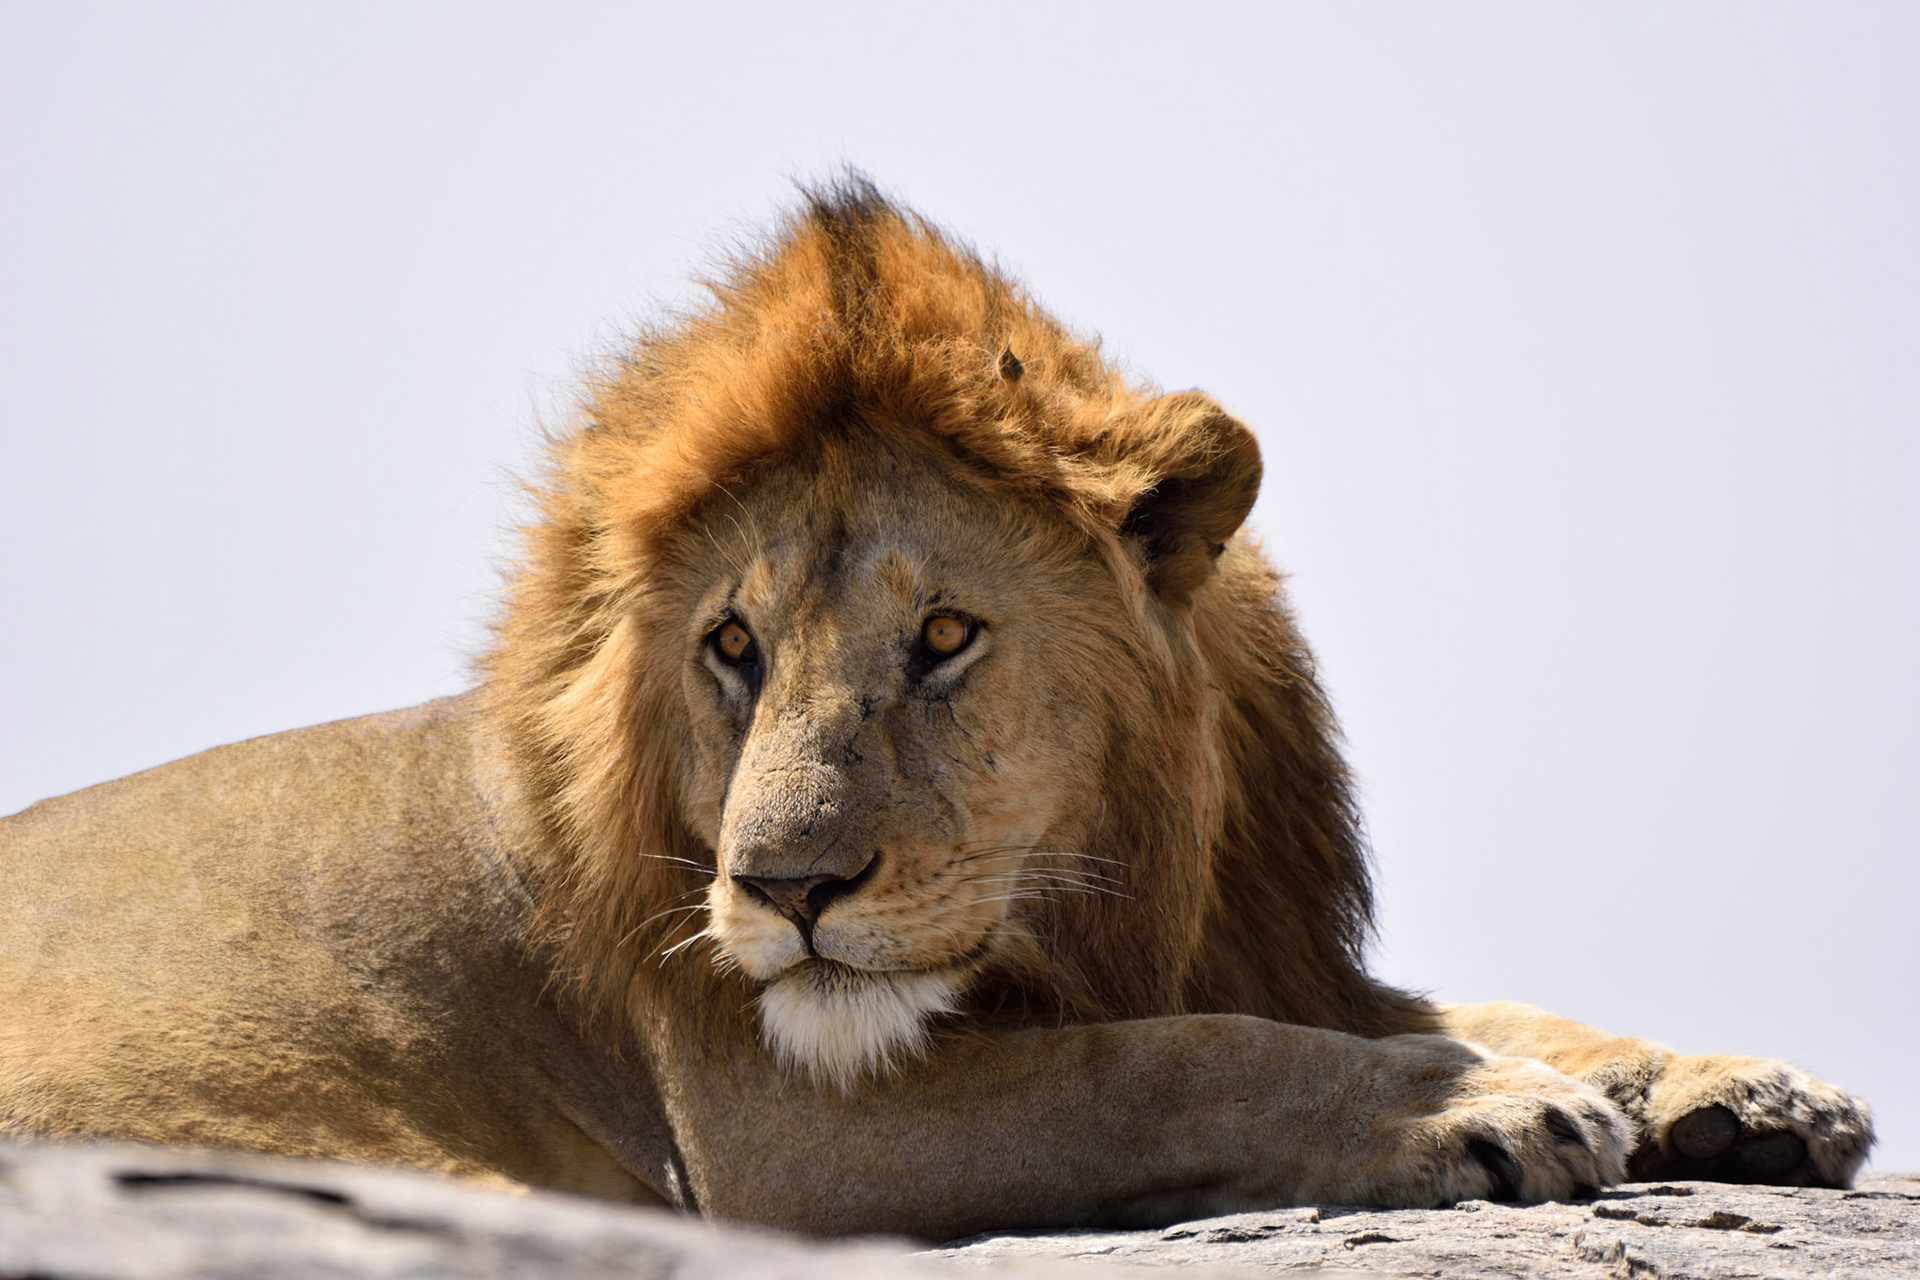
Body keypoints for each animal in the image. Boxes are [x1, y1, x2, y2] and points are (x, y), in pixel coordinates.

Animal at [0, 178, 1873, 1238]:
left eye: (948, 634)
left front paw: (1739, 1090)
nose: (782, 893)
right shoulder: (773, 1126)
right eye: (733, 646)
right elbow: (1165, 1067)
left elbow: (1483, 1000)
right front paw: (1471, 1108)